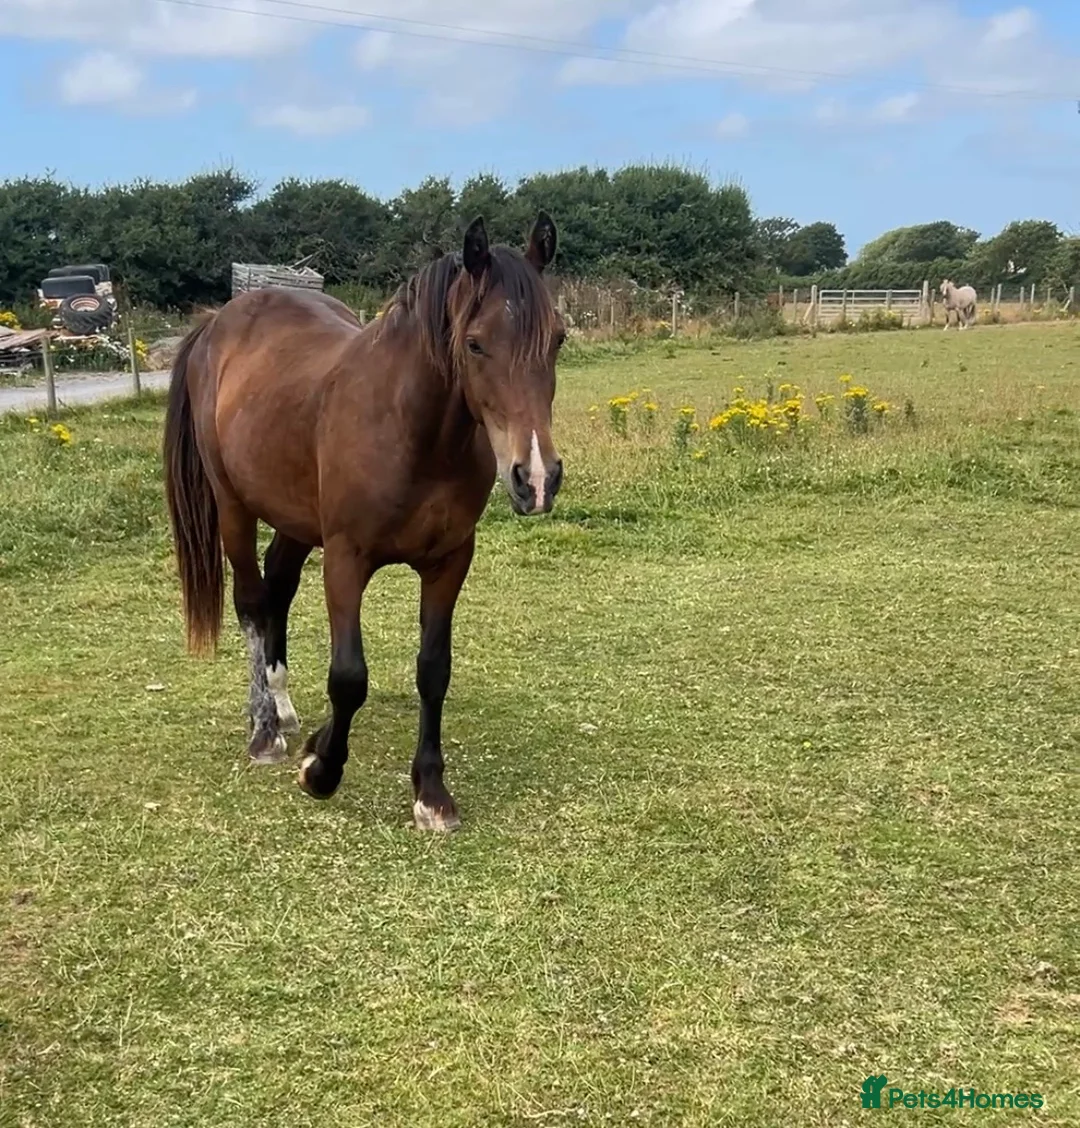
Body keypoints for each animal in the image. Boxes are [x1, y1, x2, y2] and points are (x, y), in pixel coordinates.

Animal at [162, 213, 565, 831]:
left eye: (559, 339)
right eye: (475, 343)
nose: (537, 479)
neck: (411, 432)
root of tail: (217, 323)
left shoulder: (450, 561)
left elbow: (433, 671)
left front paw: (431, 793)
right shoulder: (346, 559)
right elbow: (349, 677)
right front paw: (321, 771)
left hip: (294, 518)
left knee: (278, 589)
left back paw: (284, 708)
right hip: (234, 508)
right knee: (253, 604)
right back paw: (264, 730)